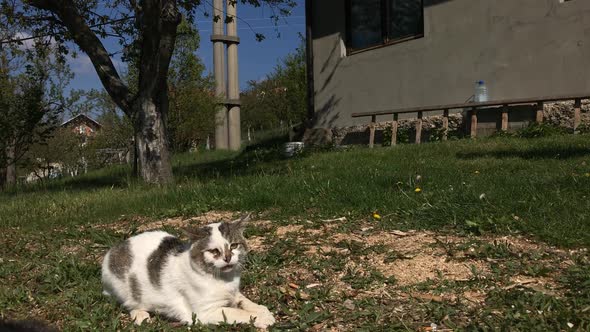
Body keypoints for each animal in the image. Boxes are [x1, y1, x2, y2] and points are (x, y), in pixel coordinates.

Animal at [102, 217, 278, 328]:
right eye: (214, 251)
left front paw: (262, 310)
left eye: (234, 245)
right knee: (129, 303)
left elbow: (244, 302)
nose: (228, 258)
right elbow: (236, 312)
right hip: (122, 287)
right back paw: (140, 314)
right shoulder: (205, 313)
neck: (223, 279)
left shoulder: (233, 293)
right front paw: (260, 318)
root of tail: (114, 249)